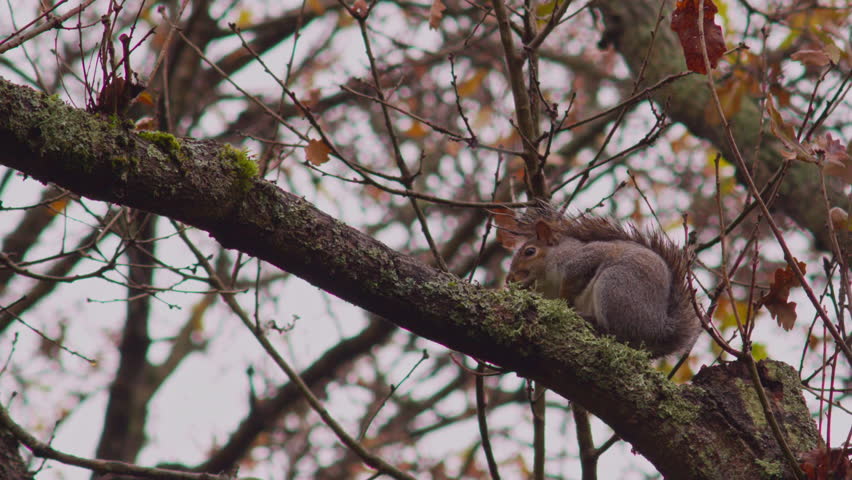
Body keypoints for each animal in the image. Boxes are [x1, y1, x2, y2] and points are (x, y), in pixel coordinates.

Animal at [501, 204, 700, 358]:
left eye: (530, 252)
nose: (509, 279)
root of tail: (659, 329)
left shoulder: (582, 259)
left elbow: (573, 282)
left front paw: (564, 303)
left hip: (614, 284)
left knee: (618, 334)